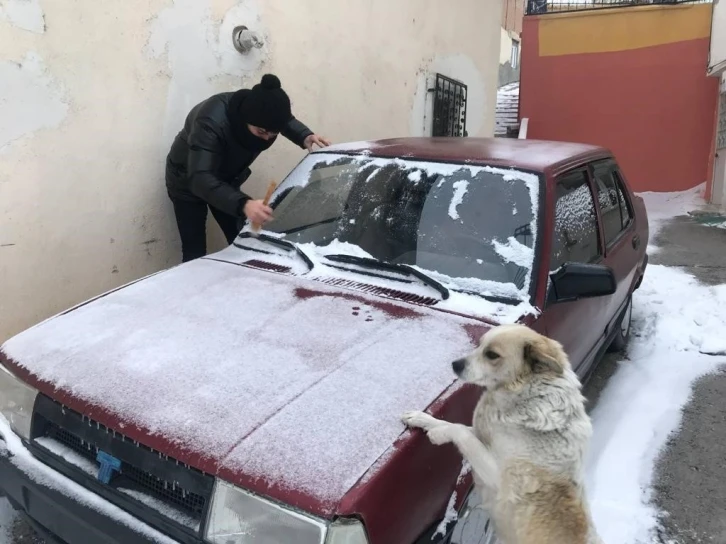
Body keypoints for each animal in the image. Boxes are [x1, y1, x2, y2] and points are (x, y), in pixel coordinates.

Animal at [404, 326, 604, 540]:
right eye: (479, 344)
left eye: (492, 355)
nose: (455, 365)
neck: (527, 395)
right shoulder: (482, 433)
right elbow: (458, 425)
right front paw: (421, 419)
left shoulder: (496, 476)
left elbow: (461, 432)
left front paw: (438, 435)